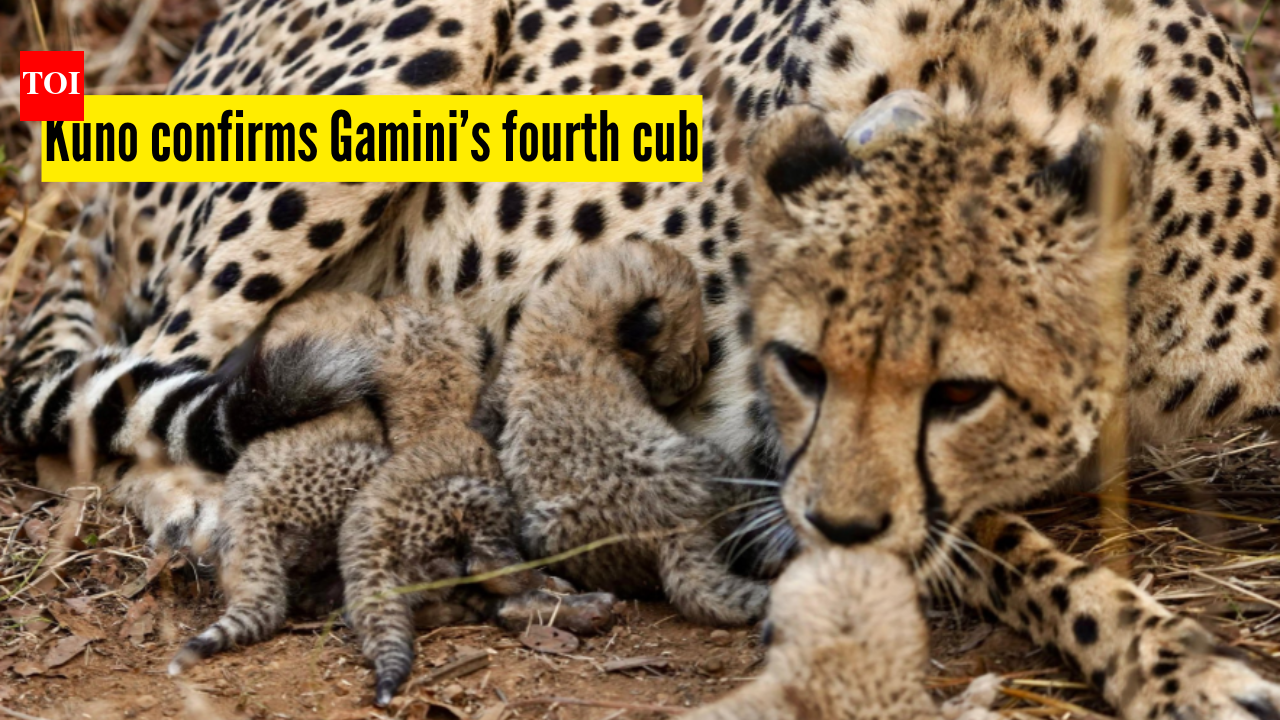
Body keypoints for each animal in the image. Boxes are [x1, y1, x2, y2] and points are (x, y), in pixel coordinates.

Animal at [482, 238, 772, 626]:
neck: (567, 327)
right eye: (693, 338)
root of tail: (674, 531)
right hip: (706, 457)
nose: (705, 363)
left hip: (541, 530)